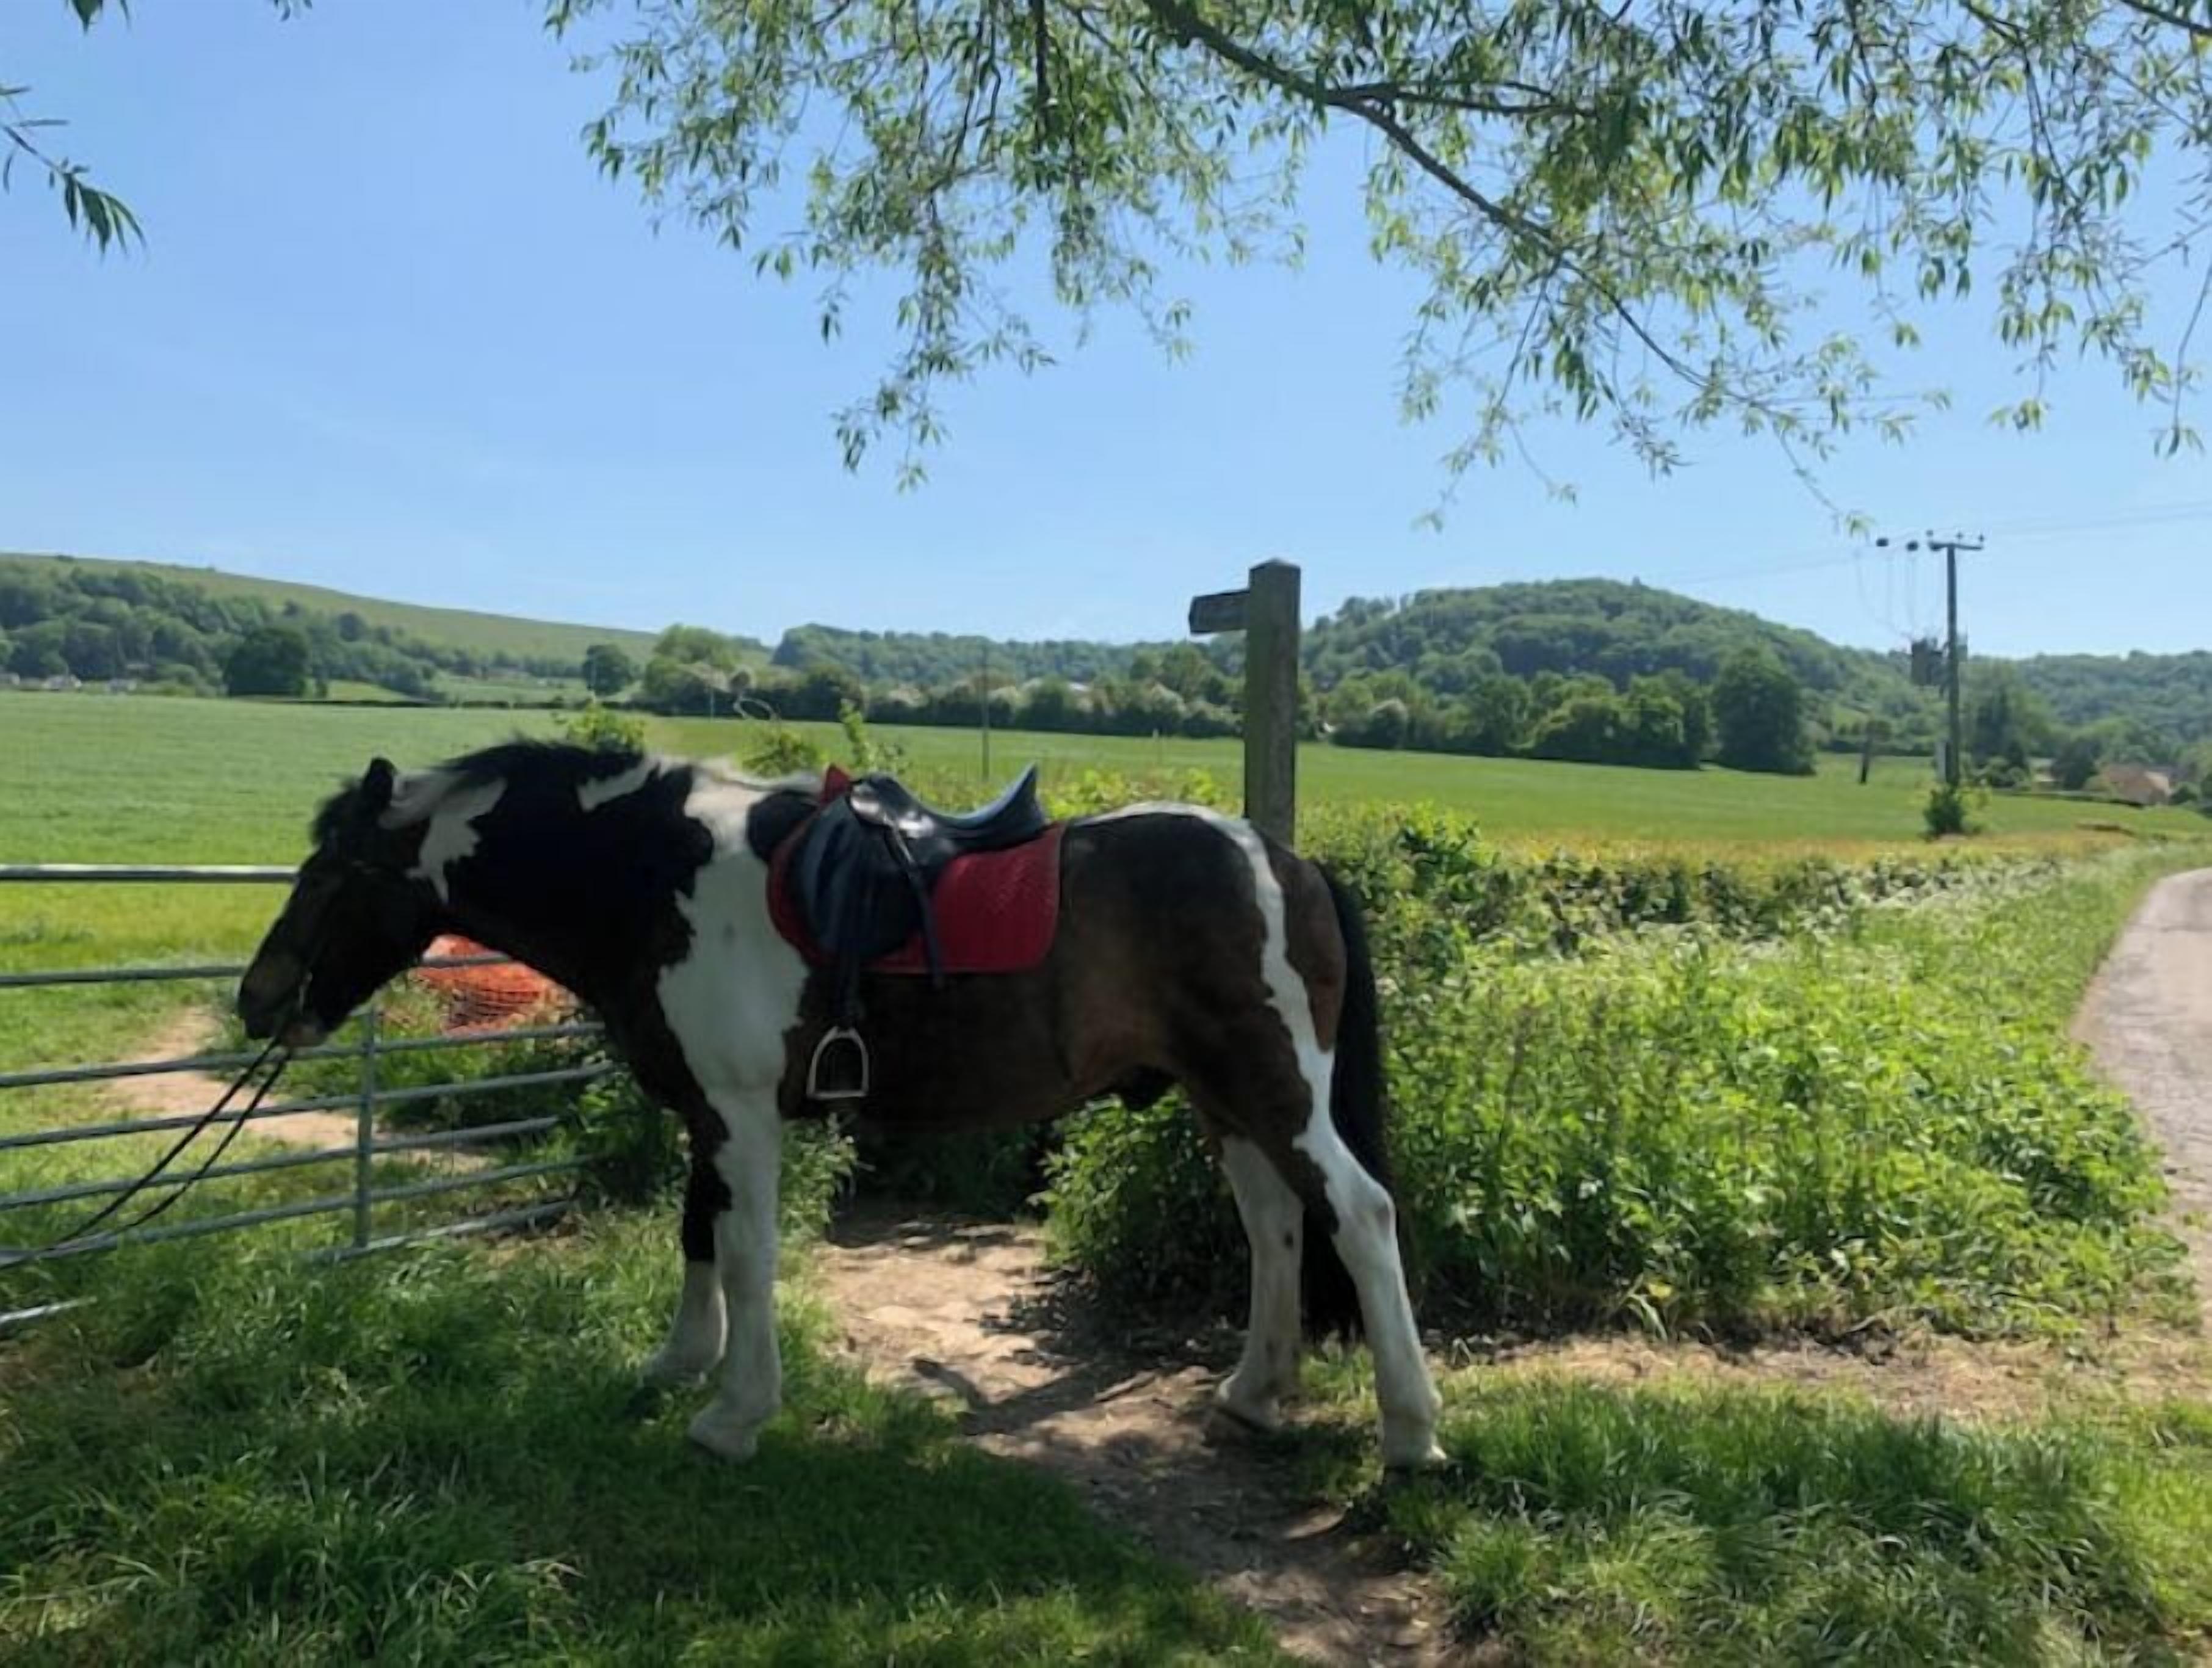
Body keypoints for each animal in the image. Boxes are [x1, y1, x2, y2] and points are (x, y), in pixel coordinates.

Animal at [235, 741, 1444, 1470]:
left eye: (334, 873)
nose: (258, 1001)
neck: (660, 876)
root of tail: (1286, 860)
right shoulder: (707, 1113)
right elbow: (696, 1236)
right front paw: (679, 1365)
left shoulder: (743, 1116)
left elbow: (748, 1254)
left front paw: (733, 1414)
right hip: (1223, 1094)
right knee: (1275, 1221)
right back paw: (1254, 1390)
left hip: (1272, 1085)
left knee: (1358, 1213)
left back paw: (1412, 1432)